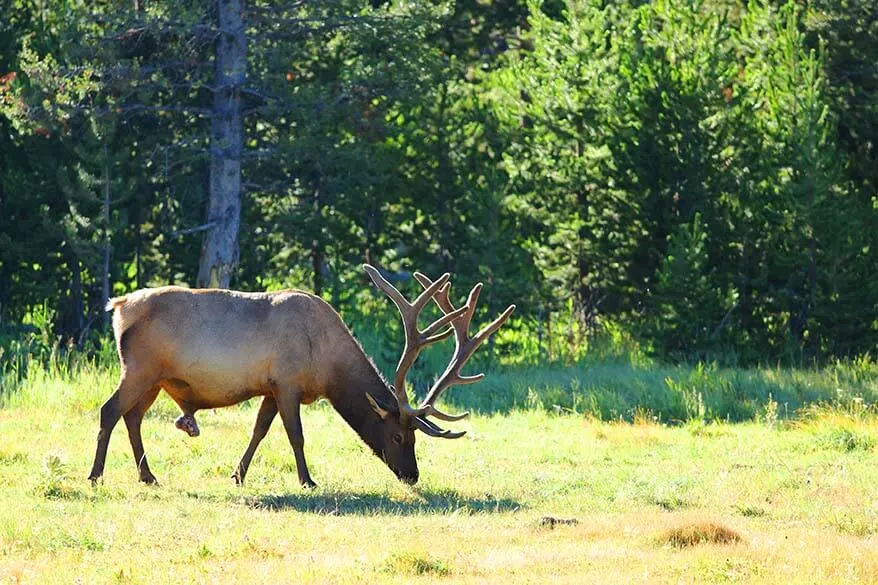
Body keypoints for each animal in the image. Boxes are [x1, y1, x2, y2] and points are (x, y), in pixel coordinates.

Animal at [87, 264, 516, 484]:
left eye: (415, 438)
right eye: (398, 435)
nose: (412, 475)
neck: (327, 366)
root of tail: (119, 306)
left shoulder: (270, 388)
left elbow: (259, 431)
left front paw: (237, 475)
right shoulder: (289, 383)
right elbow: (296, 435)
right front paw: (307, 480)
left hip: (154, 379)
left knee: (132, 416)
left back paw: (148, 476)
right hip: (140, 368)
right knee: (110, 410)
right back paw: (96, 475)